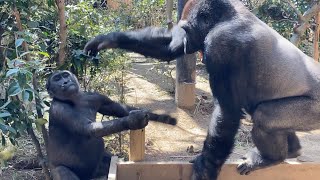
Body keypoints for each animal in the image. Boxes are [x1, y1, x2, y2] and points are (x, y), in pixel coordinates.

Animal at [47, 70, 178, 180]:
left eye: (65, 75)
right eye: (57, 79)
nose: (65, 81)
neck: (75, 99)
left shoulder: (96, 97)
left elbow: (117, 108)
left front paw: (160, 117)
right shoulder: (60, 110)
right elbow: (88, 128)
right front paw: (133, 120)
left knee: (108, 159)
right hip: (56, 170)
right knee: (62, 171)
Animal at [83, 0, 320, 179]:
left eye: (188, 29)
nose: (187, 42)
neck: (226, 17)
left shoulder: (221, 44)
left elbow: (227, 111)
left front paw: (206, 167)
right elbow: (169, 47)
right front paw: (109, 39)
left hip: (313, 112)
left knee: (264, 115)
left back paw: (270, 158)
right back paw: (290, 150)